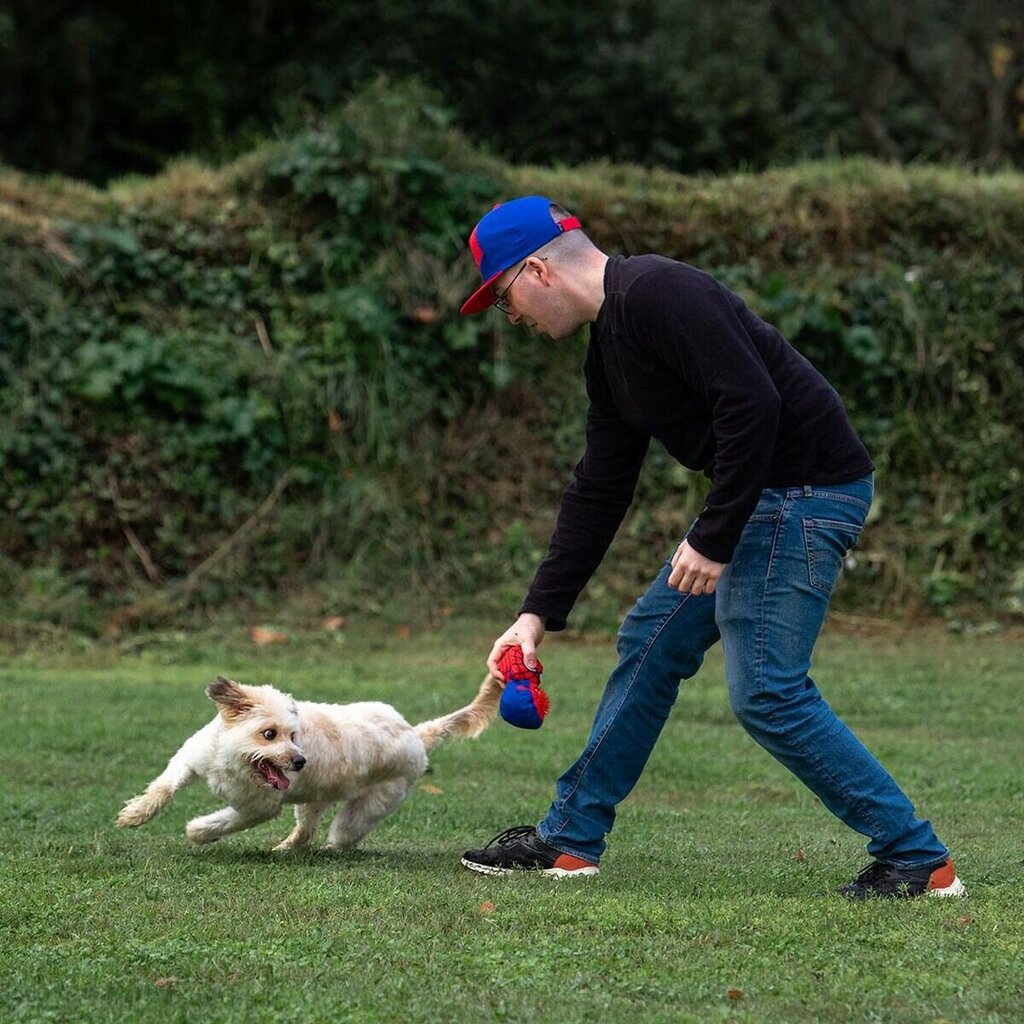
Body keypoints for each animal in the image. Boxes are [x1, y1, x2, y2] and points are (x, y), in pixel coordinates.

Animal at [116, 671, 499, 847]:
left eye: (294, 735)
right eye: (270, 733)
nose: (301, 761)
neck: (235, 762)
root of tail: (417, 734)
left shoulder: (258, 808)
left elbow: (225, 821)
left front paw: (199, 831)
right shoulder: (190, 759)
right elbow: (163, 788)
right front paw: (135, 814)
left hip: (364, 810)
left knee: (339, 835)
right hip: (313, 799)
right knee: (305, 830)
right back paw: (286, 848)